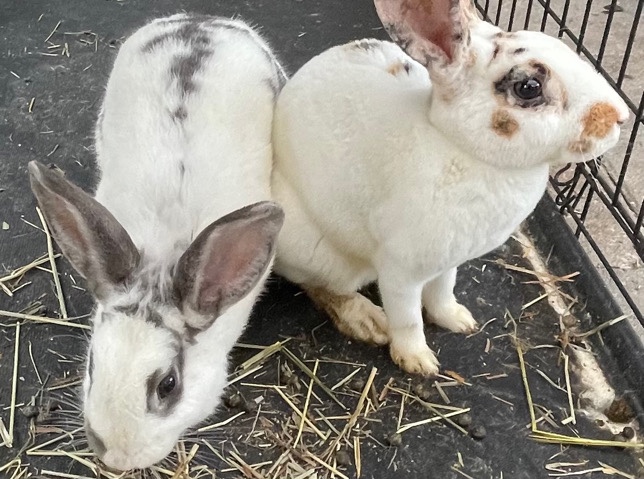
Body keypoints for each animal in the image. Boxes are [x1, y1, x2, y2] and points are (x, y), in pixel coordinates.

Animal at [271, 0, 629, 376]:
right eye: (528, 87)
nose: (619, 116)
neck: (461, 148)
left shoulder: (448, 262)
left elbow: (443, 291)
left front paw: (458, 320)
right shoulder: (400, 270)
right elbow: (407, 317)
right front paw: (418, 361)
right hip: (319, 256)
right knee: (321, 287)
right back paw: (368, 322)